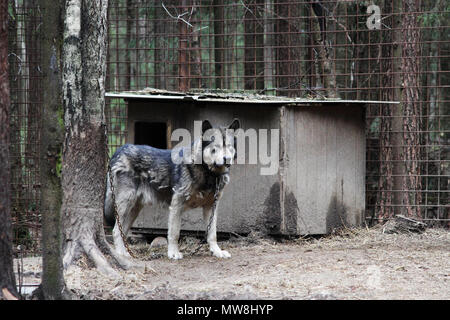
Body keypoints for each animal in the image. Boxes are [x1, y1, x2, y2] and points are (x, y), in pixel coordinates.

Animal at [104, 119, 239, 258]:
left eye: (229, 146)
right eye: (215, 148)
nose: (227, 159)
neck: (209, 173)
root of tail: (119, 150)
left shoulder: (211, 207)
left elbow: (212, 234)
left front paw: (217, 251)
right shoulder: (176, 205)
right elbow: (174, 233)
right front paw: (173, 253)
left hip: (134, 210)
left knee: (123, 231)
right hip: (126, 204)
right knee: (115, 231)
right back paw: (121, 254)